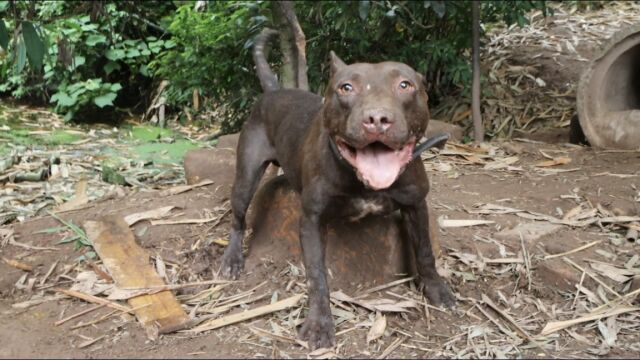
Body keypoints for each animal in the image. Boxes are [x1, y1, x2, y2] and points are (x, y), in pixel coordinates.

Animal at [221, 29, 456, 350]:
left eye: (405, 85)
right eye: (346, 87)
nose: (377, 119)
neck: (362, 179)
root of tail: (274, 91)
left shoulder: (416, 204)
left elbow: (425, 252)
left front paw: (435, 288)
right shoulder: (312, 220)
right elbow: (317, 276)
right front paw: (320, 323)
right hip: (246, 176)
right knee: (237, 218)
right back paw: (232, 259)